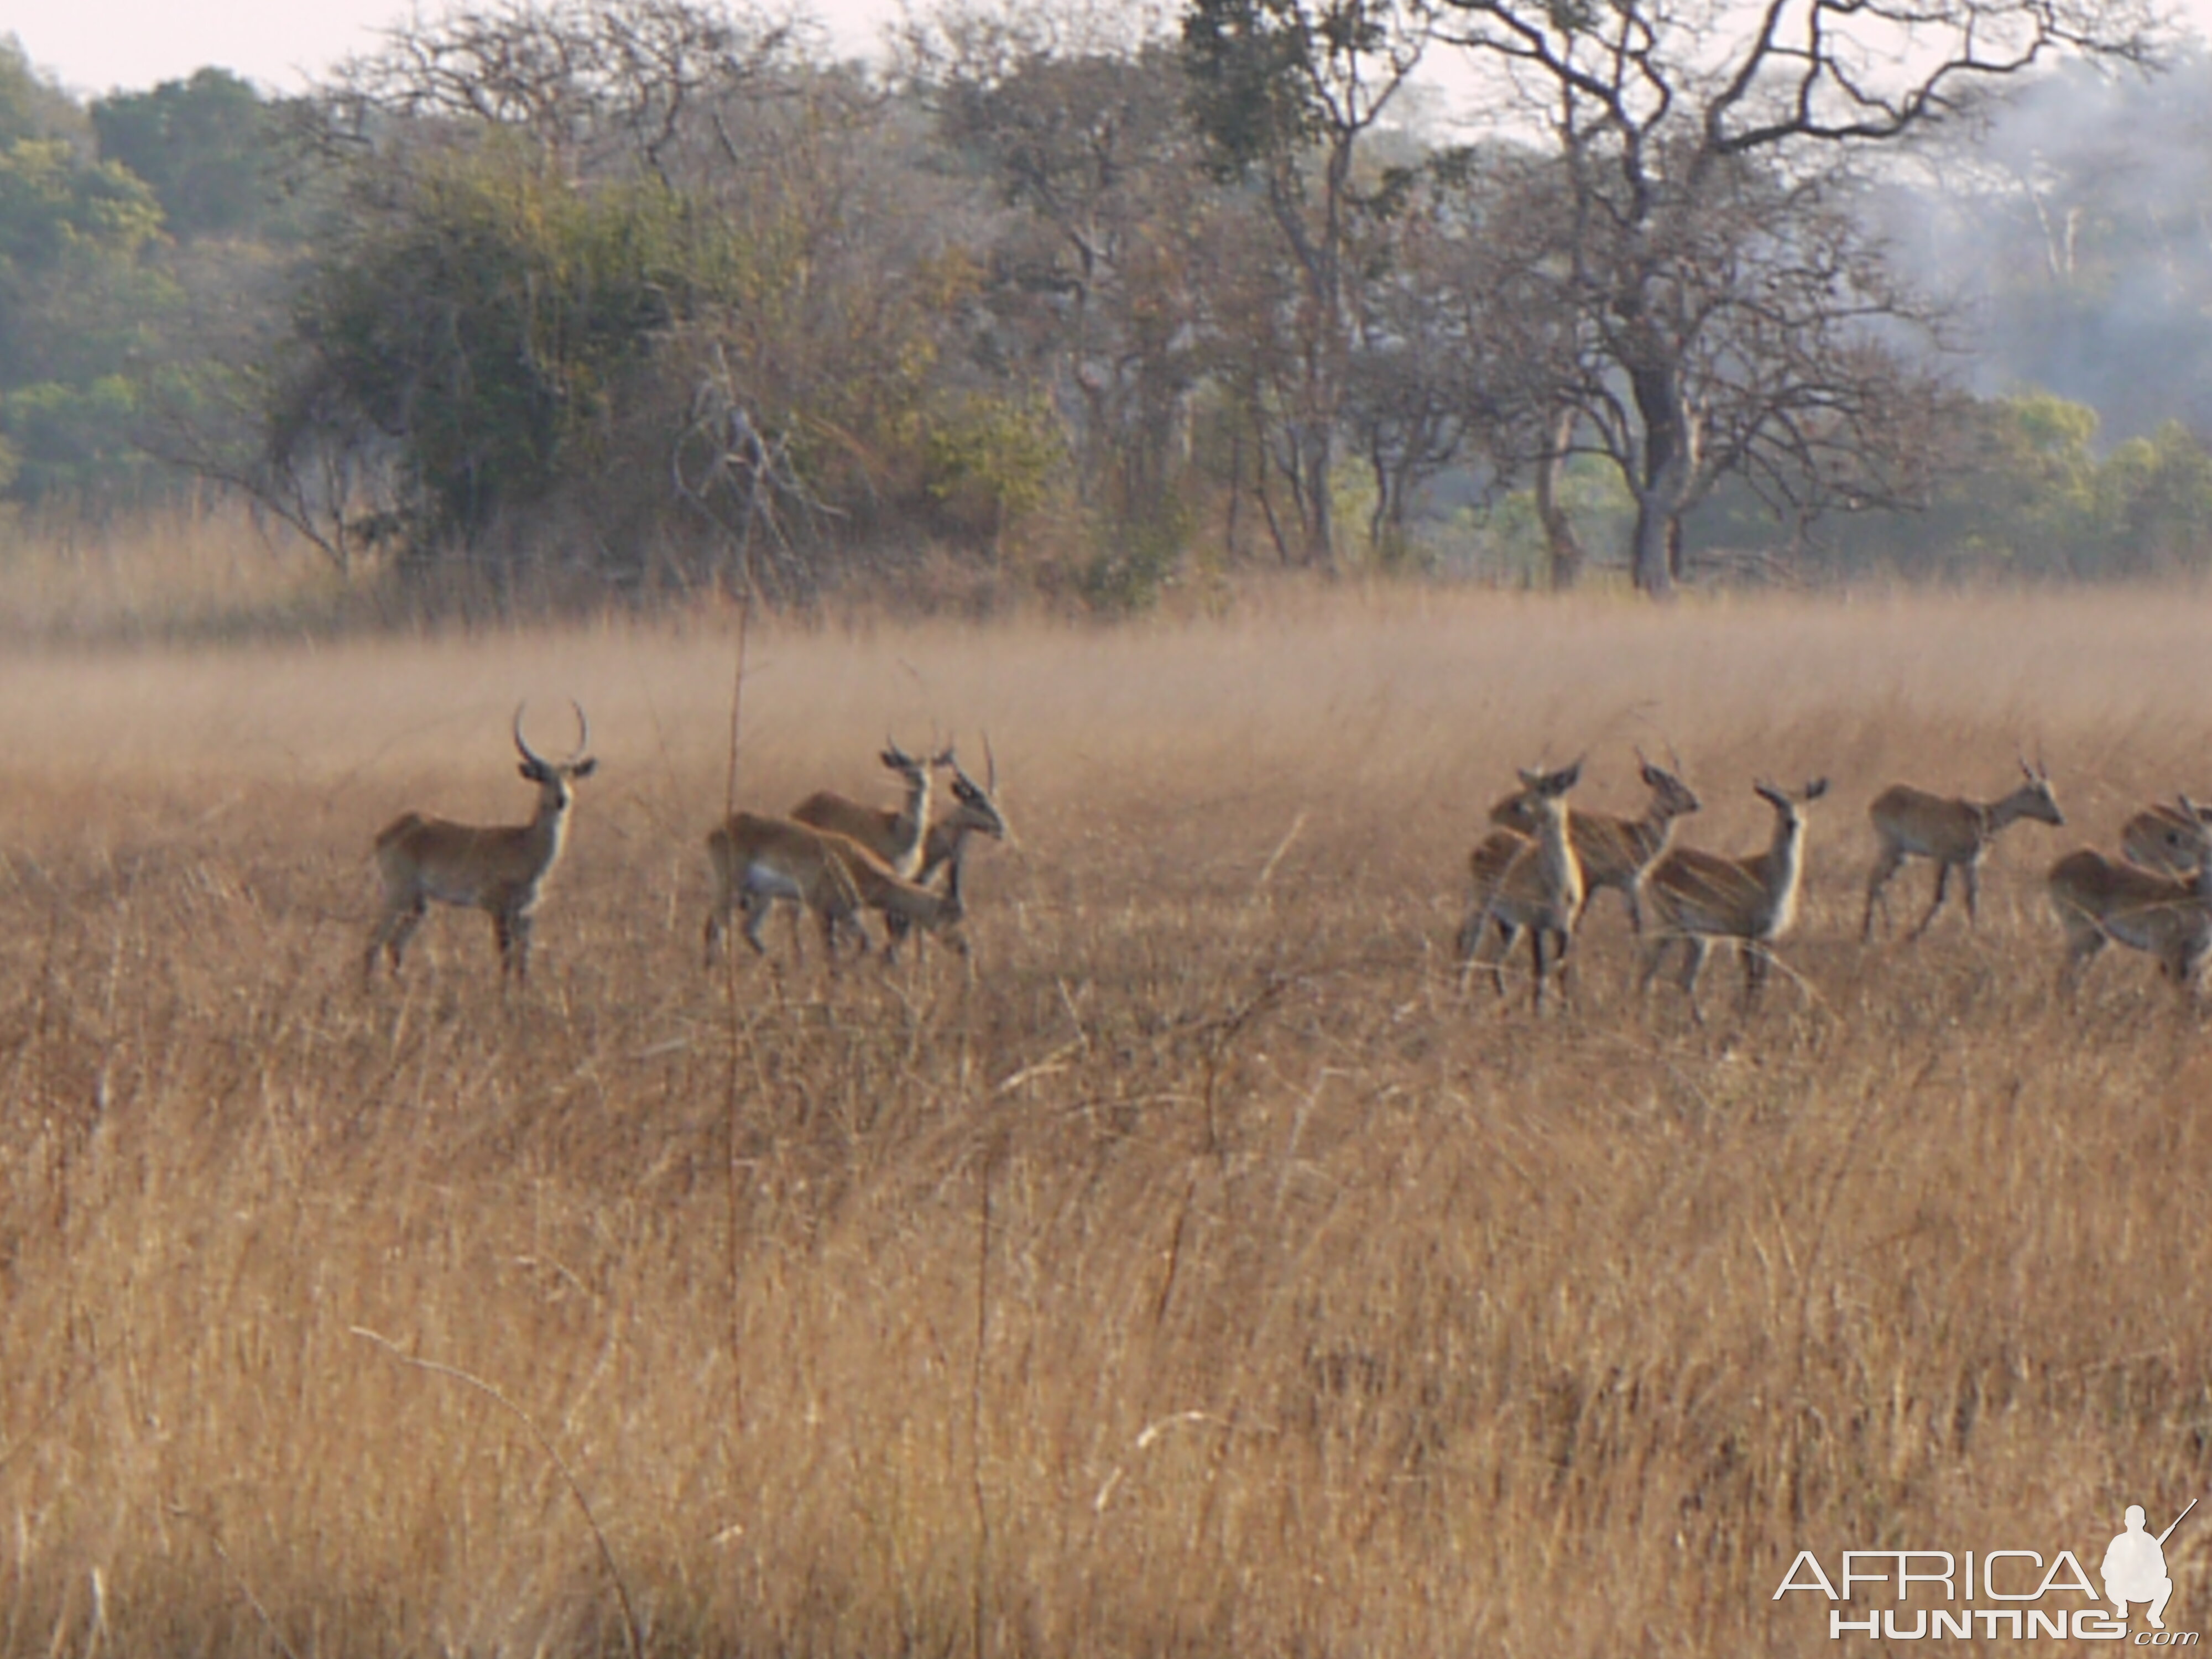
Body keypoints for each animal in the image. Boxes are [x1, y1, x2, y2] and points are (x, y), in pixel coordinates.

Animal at [367, 703, 602, 987]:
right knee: (374, 941)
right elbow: (505, 960)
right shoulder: (497, 909)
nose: (562, 799)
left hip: (418, 902)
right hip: (398, 893)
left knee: (395, 944)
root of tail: (388, 831)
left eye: (570, 776)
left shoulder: (525, 914)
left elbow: (523, 965)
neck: (526, 848)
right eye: (542, 777)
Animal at [699, 814, 960, 969]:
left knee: (744, 929)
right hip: (731, 888)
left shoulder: (844, 913)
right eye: (949, 915)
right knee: (716, 926)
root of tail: (719, 828)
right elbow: (830, 951)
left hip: (762, 898)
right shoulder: (821, 910)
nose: (962, 947)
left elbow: (864, 943)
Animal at [1460, 765, 1584, 1013]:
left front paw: (1565, 1009)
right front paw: (1539, 1011)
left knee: (1495, 961)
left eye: (1547, 787)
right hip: (1482, 911)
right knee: (1470, 950)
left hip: (1511, 925)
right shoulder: (1538, 925)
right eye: (1528, 785)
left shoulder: (1565, 926)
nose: (1519, 805)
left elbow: (1561, 967)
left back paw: (1504, 1001)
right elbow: (1540, 970)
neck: (1558, 884)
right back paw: (1462, 997)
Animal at [1646, 779, 1832, 1026]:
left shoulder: (1768, 937)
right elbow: (1750, 979)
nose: (1793, 822)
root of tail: (1657, 866)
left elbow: (1762, 979)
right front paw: (1745, 1019)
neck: (1770, 877)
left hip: (1698, 938)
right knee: (1659, 971)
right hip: (1676, 928)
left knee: (1679, 976)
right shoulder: (1745, 934)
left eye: (1803, 802)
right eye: (1778, 803)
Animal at [1858, 757, 2062, 942]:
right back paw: (1875, 932)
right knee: (1874, 879)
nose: (2060, 819)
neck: (1982, 818)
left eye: (2052, 793)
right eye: (2041, 794)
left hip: (1901, 856)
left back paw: (1879, 930)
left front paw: (1975, 935)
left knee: (1877, 880)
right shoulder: (1944, 858)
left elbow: (1972, 898)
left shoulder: (1968, 863)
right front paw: (1913, 935)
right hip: (1891, 849)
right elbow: (1940, 897)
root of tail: (1879, 799)